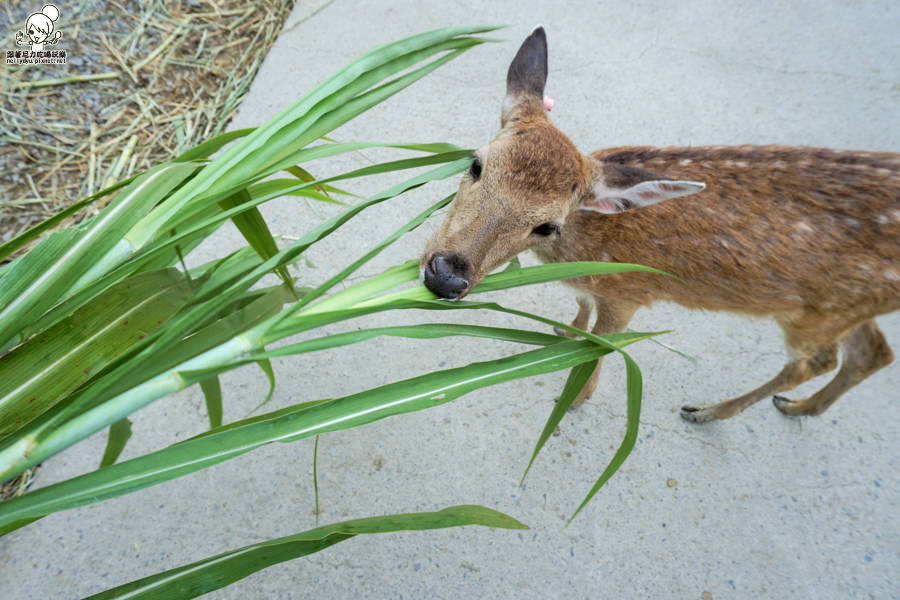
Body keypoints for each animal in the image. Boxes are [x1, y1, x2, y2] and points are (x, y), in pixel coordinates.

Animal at [422, 27, 900, 422]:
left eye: (548, 225)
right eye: (475, 164)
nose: (446, 276)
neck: (588, 246)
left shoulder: (629, 292)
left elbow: (603, 344)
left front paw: (576, 397)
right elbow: (581, 306)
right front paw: (566, 330)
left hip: (813, 315)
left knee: (815, 361)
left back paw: (709, 411)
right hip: (846, 306)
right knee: (874, 353)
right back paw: (802, 407)